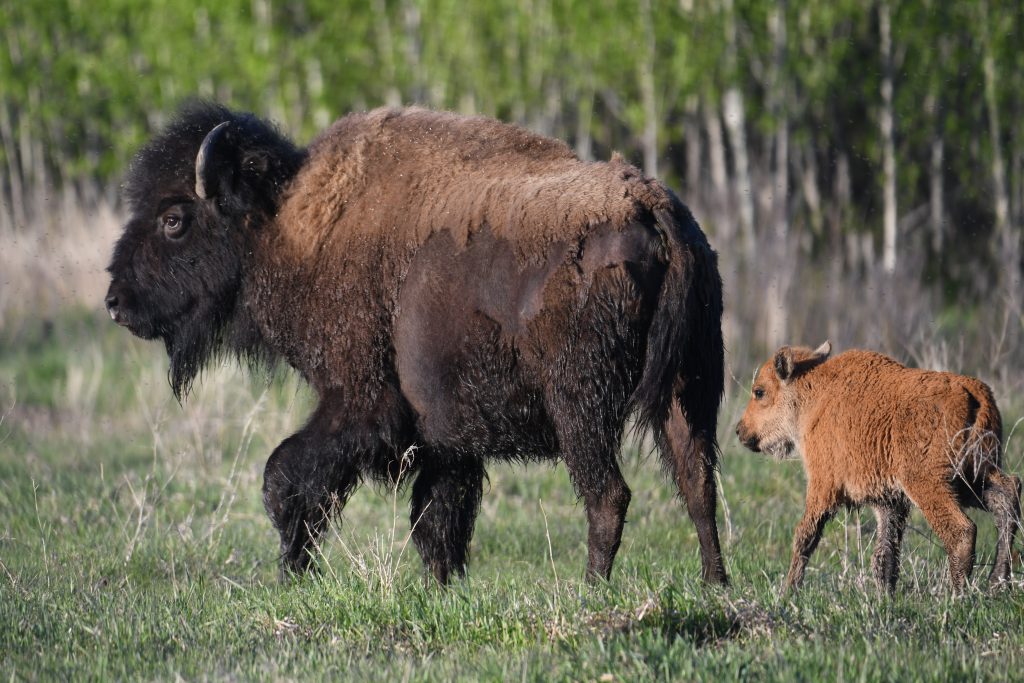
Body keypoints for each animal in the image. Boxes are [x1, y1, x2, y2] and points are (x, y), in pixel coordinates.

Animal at [105, 104, 729, 585]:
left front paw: (292, 575)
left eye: (174, 219)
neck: (290, 225)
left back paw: (591, 591)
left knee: (608, 496)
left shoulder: (361, 402)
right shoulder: (447, 441)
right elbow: (437, 521)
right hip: (689, 390)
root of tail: (651, 207)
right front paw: (440, 586)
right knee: (698, 482)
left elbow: (284, 477)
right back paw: (714, 584)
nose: (115, 300)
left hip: (582, 406)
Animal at [741, 342, 1019, 593]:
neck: (814, 395)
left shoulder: (822, 487)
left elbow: (805, 537)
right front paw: (884, 597)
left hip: (930, 483)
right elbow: (885, 553)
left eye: (759, 391)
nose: (740, 431)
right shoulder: (889, 501)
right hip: (973, 477)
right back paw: (997, 583)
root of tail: (974, 391)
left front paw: (789, 591)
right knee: (1008, 496)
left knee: (961, 530)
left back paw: (956, 596)